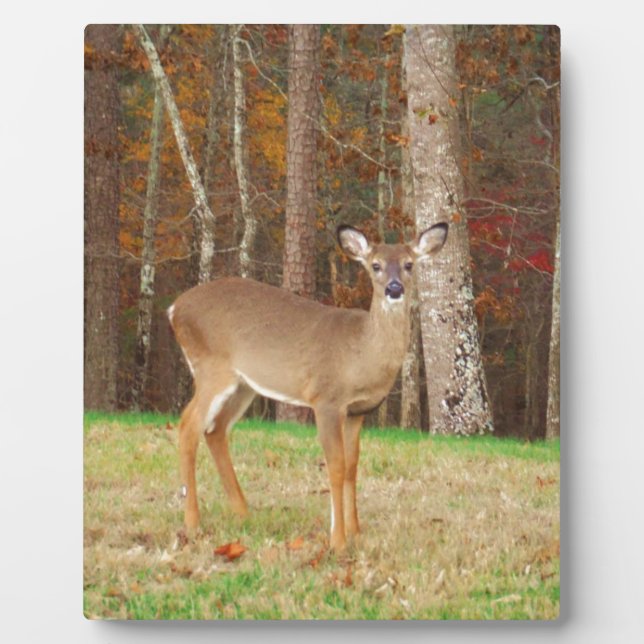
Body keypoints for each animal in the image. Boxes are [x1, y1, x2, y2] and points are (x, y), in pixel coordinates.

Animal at [167, 222, 448, 551]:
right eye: (375, 265)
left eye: (409, 264)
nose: (394, 289)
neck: (361, 353)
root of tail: (174, 308)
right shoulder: (326, 399)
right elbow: (336, 466)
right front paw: (338, 540)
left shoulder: (357, 411)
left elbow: (352, 467)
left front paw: (356, 531)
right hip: (212, 368)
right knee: (188, 425)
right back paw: (192, 522)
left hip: (243, 384)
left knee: (215, 430)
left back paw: (243, 513)